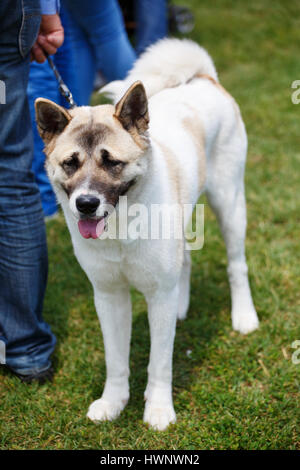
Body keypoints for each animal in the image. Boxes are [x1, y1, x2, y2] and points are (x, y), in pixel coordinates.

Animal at [35, 39, 258, 430]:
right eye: (70, 163)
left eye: (112, 162)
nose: (86, 204)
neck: (122, 227)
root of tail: (203, 78)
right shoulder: (109, 297)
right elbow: (115, 360)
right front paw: (113, 403)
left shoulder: (158, 298)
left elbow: (160, 363)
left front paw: (158, 409)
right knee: (186, 261)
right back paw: (184, 306)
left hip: (230, 204)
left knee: (237, 265)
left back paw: (244, 316)